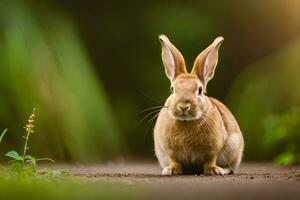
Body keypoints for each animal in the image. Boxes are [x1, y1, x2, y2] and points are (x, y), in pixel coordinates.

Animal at [155, 35, 244, 176]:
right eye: (172, 89)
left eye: (200, 90)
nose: (183, 106)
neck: (186, 122)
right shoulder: (170, 152)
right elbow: (175, 161)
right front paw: (171, 170)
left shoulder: (212, 150)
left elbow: (210, 160)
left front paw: (213, 170)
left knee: (230, 167)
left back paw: (221, 170)